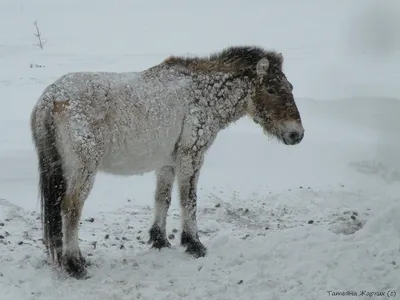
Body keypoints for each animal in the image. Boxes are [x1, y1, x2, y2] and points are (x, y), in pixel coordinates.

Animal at [30, 45, 306, 278]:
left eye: (290, 87)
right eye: (271, 89)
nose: (297, 134)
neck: (204, 92)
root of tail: (51, 98)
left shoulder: (167, 163)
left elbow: (162, 198)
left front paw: (159, 240)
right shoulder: (191, 156)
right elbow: (188, 200)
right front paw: (194, 244)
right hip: (82, 169)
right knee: (71, 209)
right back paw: (75, 264)